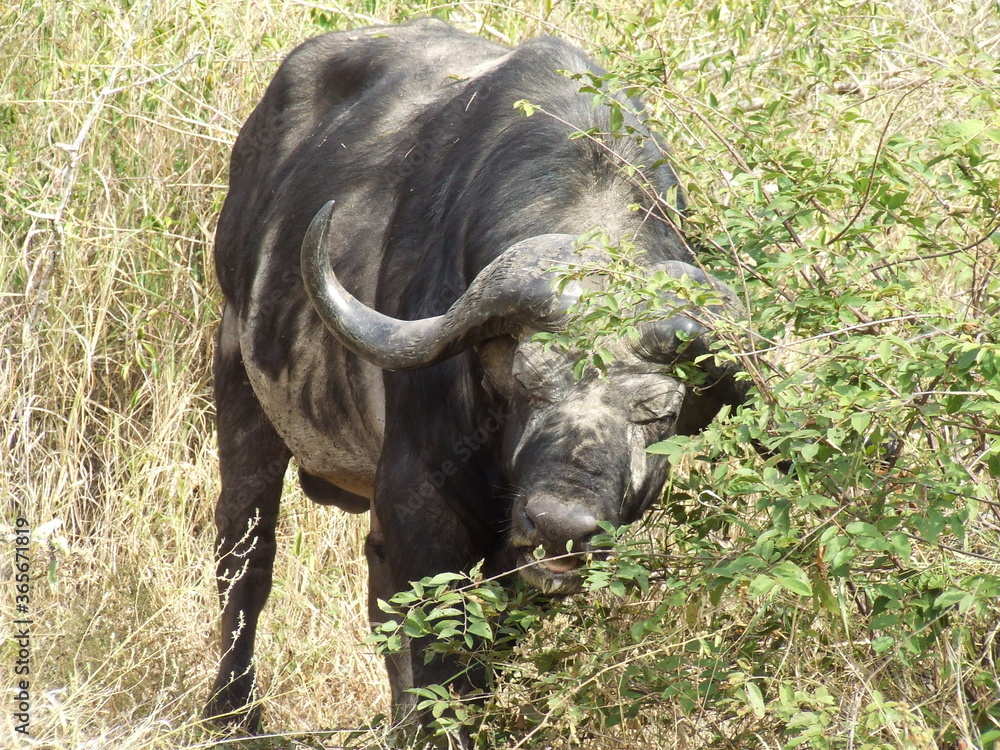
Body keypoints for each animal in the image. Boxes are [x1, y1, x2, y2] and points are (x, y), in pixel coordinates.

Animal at [205, 18, 749, 741]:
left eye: (655, 413)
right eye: (526, 384)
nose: (560, 522)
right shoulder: (417, 506)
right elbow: (435, 650)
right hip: (241, 380)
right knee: (245, 557)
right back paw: (233, 713)